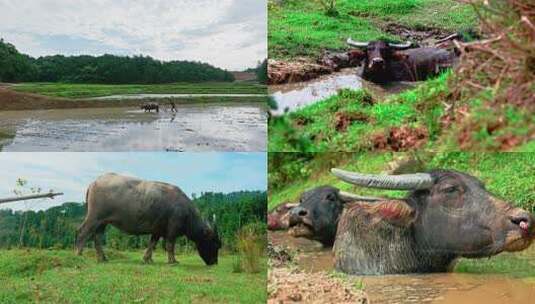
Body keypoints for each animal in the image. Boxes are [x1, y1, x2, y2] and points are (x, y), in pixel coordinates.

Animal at [74, 175, 221, 264]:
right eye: (215, 243)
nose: (214, 262)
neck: (187, 213)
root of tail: (94, 182)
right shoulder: (172, 230)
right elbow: (170, 245)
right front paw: (172, 261)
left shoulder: (157, 230)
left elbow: (152, 244)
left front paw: (147, 259)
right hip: (94, 217)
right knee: (83, 232)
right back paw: (78, 254)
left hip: (102, 222)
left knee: (97, 236)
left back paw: (103, 258)